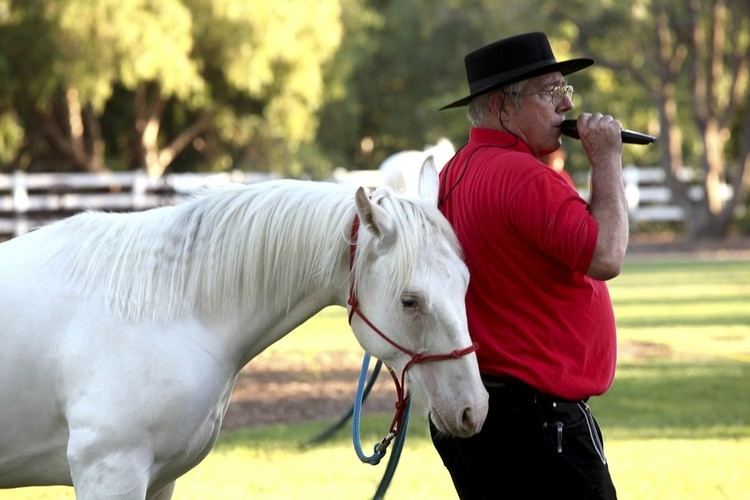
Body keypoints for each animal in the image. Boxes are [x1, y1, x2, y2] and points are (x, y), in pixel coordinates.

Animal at [0, 162, 488, 498]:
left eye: (465, 281)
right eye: (410, 300)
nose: (474, 410)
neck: (162, 310)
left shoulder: (159, 479)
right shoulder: (109, 473)